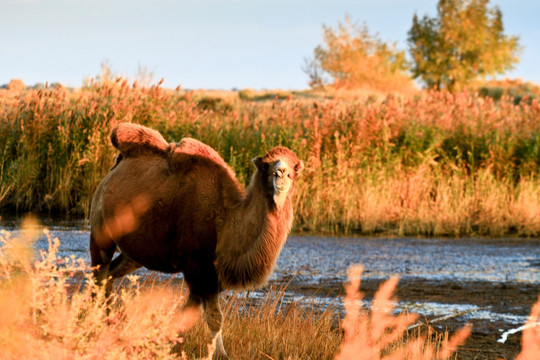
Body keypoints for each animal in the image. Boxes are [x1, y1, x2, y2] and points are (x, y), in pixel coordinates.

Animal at [90, 122, 306, 358]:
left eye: (295, 167)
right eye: (266, 165)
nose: (281, 173)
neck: (225, 221)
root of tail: (114, 169)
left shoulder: (210, 276)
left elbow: (191, 313)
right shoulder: (196, 266)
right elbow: (212, 316)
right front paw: (220, 355)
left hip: (136, 252)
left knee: (110, 276)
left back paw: (109, 325)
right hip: (101, 232)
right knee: (98, 275)